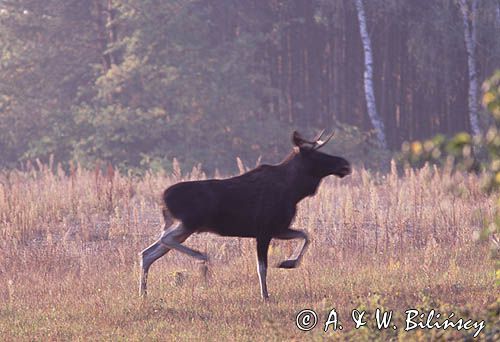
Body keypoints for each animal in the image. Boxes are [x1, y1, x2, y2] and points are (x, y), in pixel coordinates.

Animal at [141, 131, 352, 300]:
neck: (295, 191)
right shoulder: (264, 230)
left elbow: (307, 235)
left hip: (185, 227)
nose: (346, 164)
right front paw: (265, 295)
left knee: (148, 253)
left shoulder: (278, 228)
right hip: (189, 223)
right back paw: (203, 259)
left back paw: (143, 293)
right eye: (316, 154)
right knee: (163, 241)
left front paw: (288, 263)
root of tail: (162, 200)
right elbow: (262, 267)